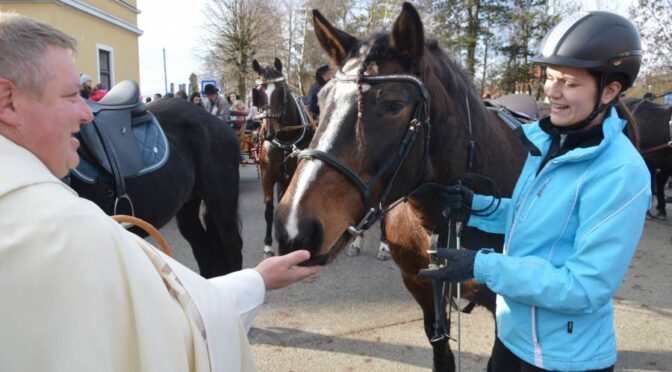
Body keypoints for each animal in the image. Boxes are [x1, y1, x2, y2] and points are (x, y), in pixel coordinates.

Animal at [252, 58, 316, 258]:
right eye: (258, 93)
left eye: (281, 90)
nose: (268, 133)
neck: (286, 141)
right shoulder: (267, 177)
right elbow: (269, 210)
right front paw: (268, 245)